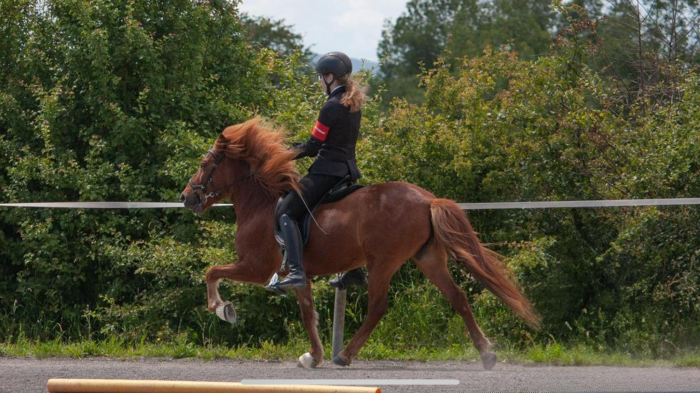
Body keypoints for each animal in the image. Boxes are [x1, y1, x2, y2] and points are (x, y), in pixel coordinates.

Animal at [178, 118, 540, 370]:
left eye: (204, 164)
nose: (186, 198)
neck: (262, 203)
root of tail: (427, 199)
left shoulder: (255, 266)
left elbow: (212, 271)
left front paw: (222, 309)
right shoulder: (299, 274)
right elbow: (308, 313)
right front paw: (313, 356)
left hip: (382, 262)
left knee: (378, 307)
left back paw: (345, 355)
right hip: (428, 259)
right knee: (458, 298)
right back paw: (487, 353)